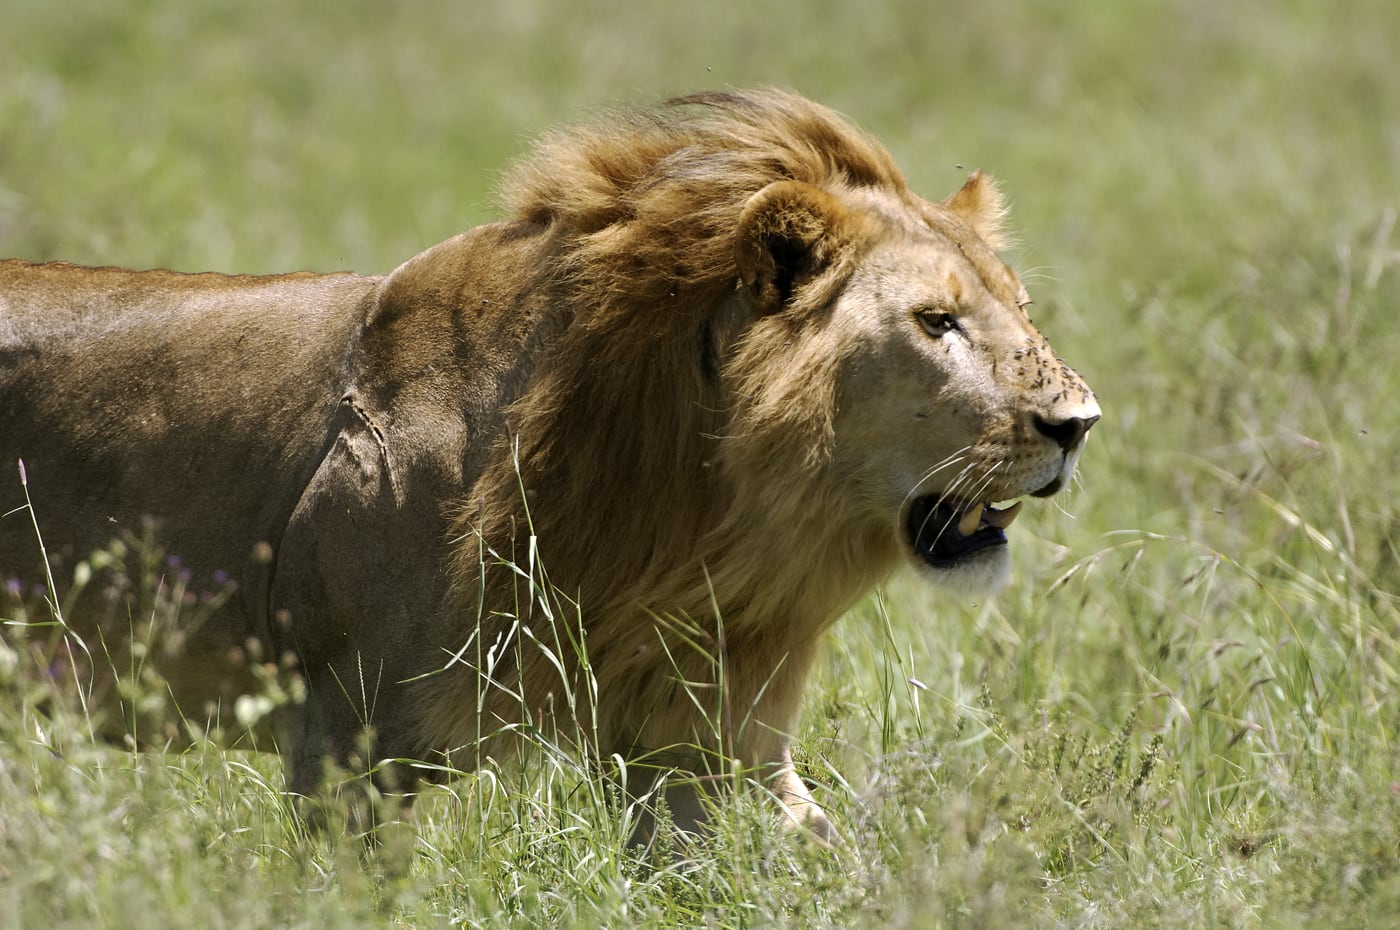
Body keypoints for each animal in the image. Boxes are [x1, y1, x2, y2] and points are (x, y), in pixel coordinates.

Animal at [0, 89, 1098, 843]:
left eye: (1018, 309)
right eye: (936, 321)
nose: (1079, 423)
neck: (694, 517)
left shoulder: (706, 743)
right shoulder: (349, 746)